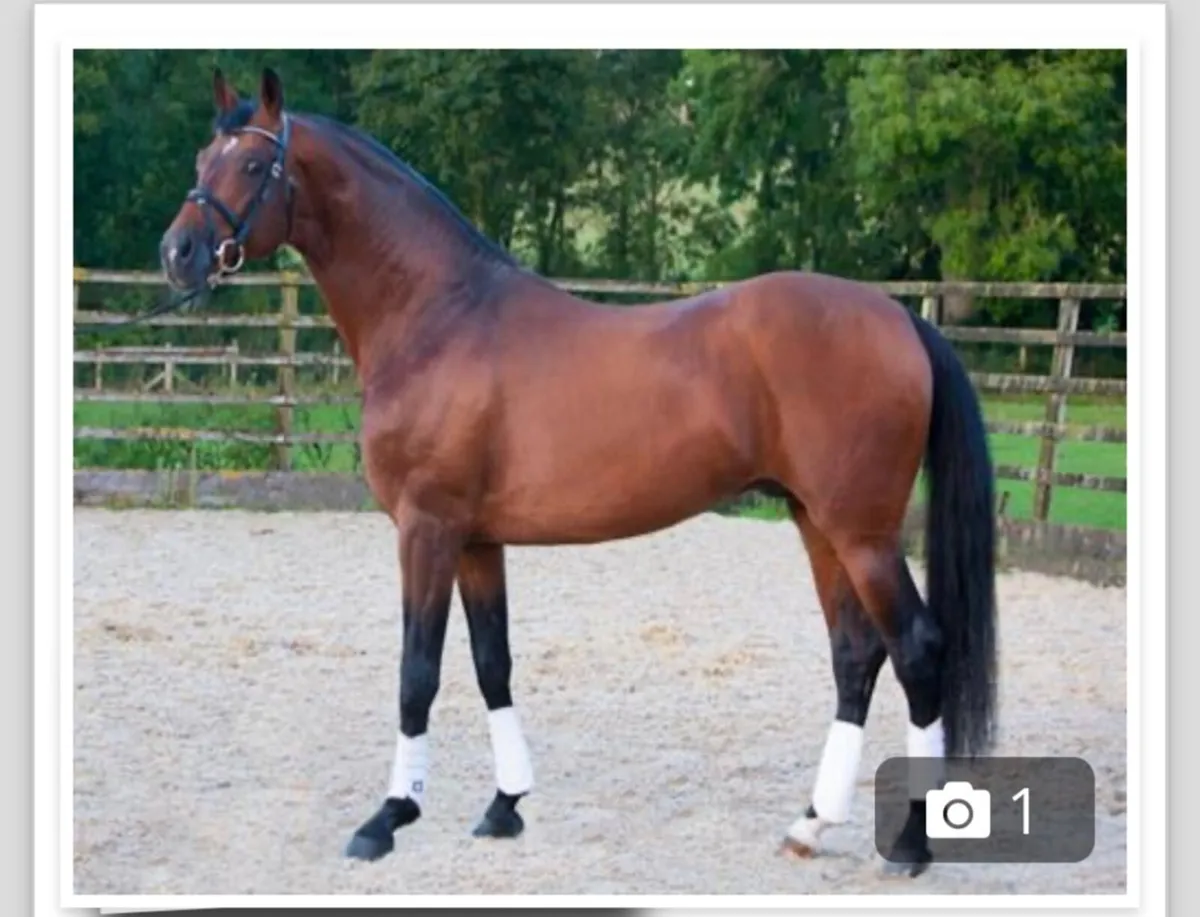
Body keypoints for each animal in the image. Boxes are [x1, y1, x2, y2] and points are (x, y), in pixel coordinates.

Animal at [158, 66, 998, 878]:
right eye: (201, 159)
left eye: (255, 164)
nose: (178, 254)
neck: (439, 315)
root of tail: (899, 315)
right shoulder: (475, 541)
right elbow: (491, 662)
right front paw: (504, 805)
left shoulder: (426, 530)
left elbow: (417, 672)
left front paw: (388, 817)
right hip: (816, 521)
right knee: (856, 654)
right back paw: (810, 824)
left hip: (863, 534)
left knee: (917, 648)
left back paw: (912, 843)